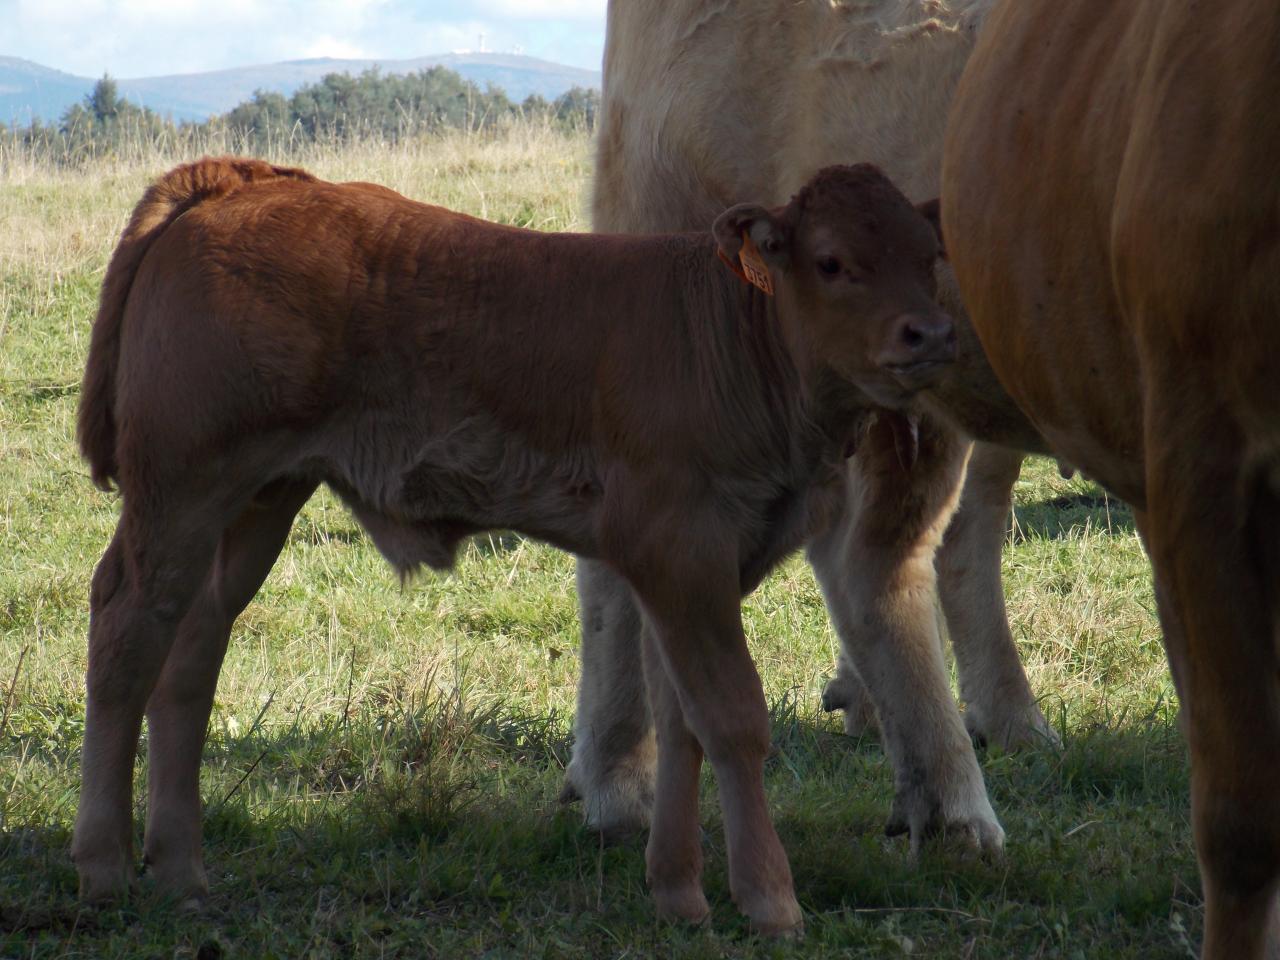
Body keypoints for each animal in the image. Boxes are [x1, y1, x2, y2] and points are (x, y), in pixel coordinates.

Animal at [70, 156, 952, 931]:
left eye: (930, 256)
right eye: (832, 261)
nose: (930, 334)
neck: (735, 340)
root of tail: (243, 182)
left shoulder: (693, 573)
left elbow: (680, 719)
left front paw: (678, 893)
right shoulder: (680, 548)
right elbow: (732, 718)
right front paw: (770, 900)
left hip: (256, 500)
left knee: (191, 647)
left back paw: (180, 868)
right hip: (181, 489)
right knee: (126, 629)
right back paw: (103, 867)